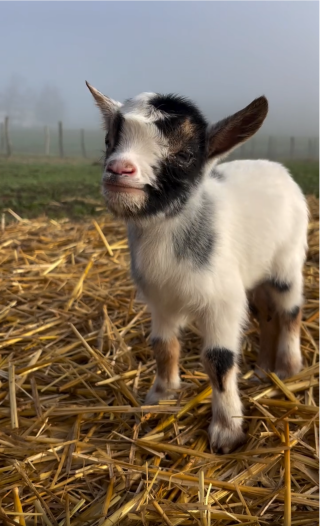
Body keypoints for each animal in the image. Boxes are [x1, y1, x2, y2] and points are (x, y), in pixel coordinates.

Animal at [87, 82, 308, 454]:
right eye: (107, 140)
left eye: (185, 155)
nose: (119, 170)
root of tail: (280, 170)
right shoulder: (160, 301)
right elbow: (163, 345)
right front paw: (160, 394)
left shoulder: (223, 302)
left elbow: (219, 359)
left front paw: (226, 430)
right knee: (266, 315)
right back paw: (263, 370)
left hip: (287, 262)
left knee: (289, 311)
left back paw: (289, 368)